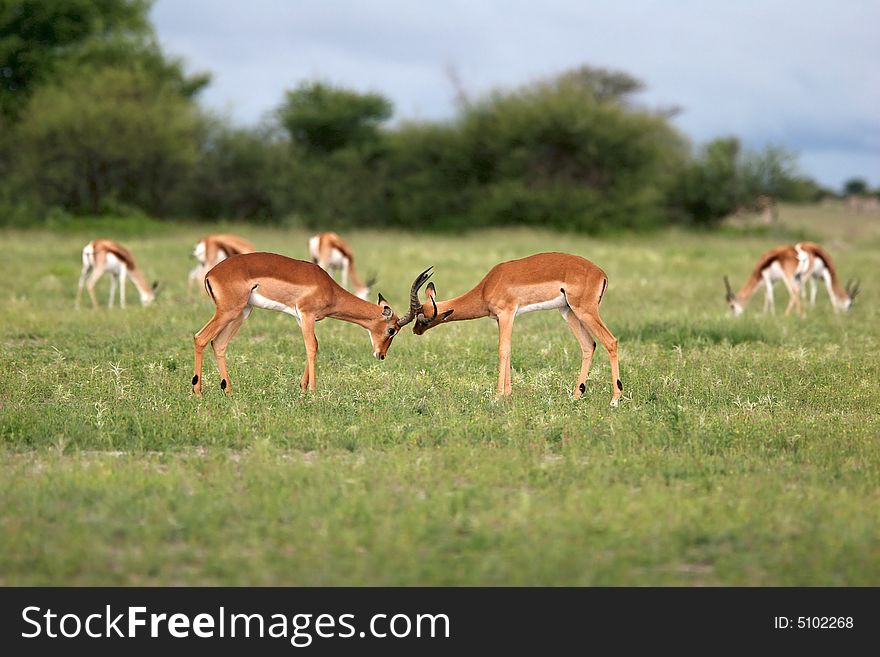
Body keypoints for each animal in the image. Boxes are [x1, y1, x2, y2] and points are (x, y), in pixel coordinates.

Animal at [191, 251, 432, 394]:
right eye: (392, 330)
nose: (381, 355)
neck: (329, 288)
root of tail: (211, 273)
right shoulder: (307, 315)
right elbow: (312, 347)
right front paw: (313, 392)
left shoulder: (301, 318)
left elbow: (312, 346)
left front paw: (302, 388)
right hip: (229, 311)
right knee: (200, 338)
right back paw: (198, 392)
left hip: (242, 312)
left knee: (218, 344)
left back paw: (228, 391)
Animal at [398, 252, 620, 402]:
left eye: (422, 318)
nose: (416, 330)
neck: (487, 286)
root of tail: (601, 274)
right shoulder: (501, 318)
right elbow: (509, 349)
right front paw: (508, 393)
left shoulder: (506, 314)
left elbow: (502, 349)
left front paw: (498, 395)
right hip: (568, 311)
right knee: (589, 345)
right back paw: (575, 395)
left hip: (585, 311)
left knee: (610, 341)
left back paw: (615, 400)